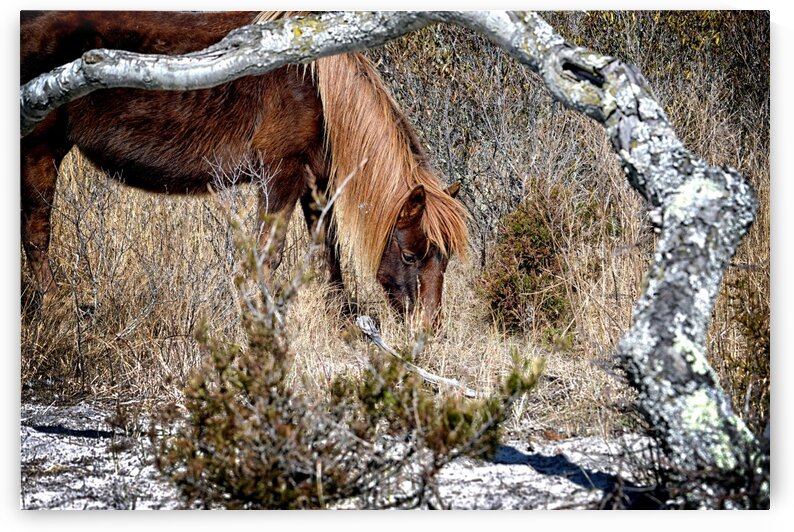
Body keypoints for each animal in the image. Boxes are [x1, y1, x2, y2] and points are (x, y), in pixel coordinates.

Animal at [20, 11, 469, 328]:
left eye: (445, 260)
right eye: (410, 256)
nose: (428, 330)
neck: (318, 90)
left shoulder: (316, 184)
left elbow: (328, 255)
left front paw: (341, 323)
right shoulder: (280, 177)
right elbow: (268, 255)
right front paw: (262, 321)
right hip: (40, 151)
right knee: (37, 235)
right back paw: (56, 311)